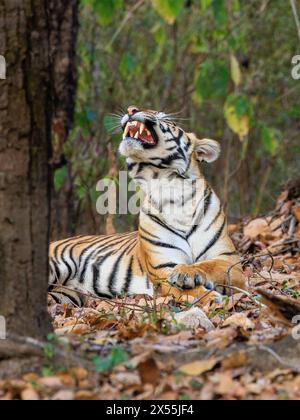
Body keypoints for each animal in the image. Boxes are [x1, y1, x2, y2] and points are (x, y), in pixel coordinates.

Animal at [49, 106, 246, 306]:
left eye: (165, 118)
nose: (131, 109)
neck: (174, 192)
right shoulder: (163, 268)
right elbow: (191, 291)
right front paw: (212, 298)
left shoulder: (229, 260)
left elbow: (207, 264)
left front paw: (186, 273)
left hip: (67, 295)